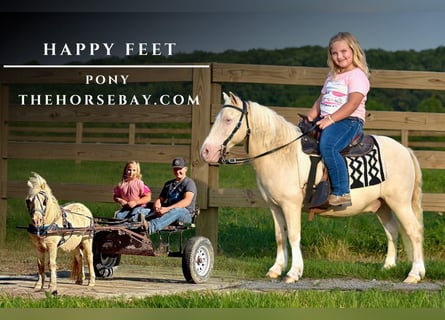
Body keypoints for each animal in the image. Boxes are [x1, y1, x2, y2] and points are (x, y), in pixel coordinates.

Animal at [201, 92, 424, 282]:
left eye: (228, 119)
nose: (206, 151)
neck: (283, 153)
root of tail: (405, 150)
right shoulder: (275, 207)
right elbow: (280, 236)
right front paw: (276, 269)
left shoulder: (290, 205)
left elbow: (293, 236)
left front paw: (293, 273)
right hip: (382, 205)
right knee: (392, 230)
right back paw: (388, 267)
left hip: (399, 203)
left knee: (414, 231)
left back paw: (414, 274)